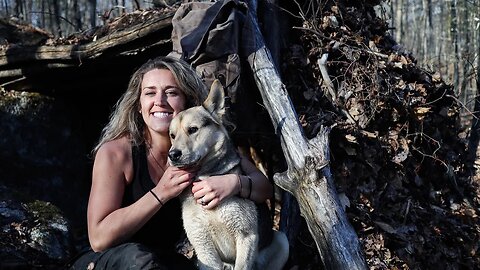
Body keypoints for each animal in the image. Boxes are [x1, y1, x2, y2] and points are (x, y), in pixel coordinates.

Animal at [169, 79, 288, 268]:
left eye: (193, 129)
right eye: (172, 135)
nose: (172, 155)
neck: (205, 176)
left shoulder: (246, 236)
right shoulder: (202, 245)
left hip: (282, 241)